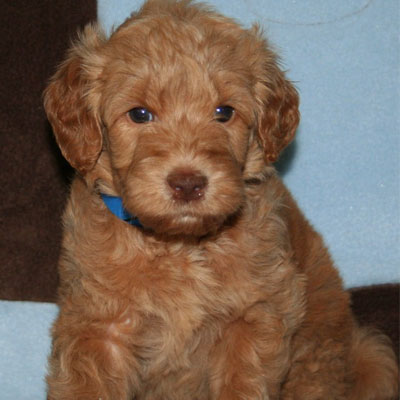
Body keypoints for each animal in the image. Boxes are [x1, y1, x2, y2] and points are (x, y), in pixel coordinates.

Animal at [43, 1, 396, 398]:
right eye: (140, 114)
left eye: (224, 112)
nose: (188, 183)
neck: (179, 245)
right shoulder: (99, 324)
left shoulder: (254, 313)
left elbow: (243, 381)